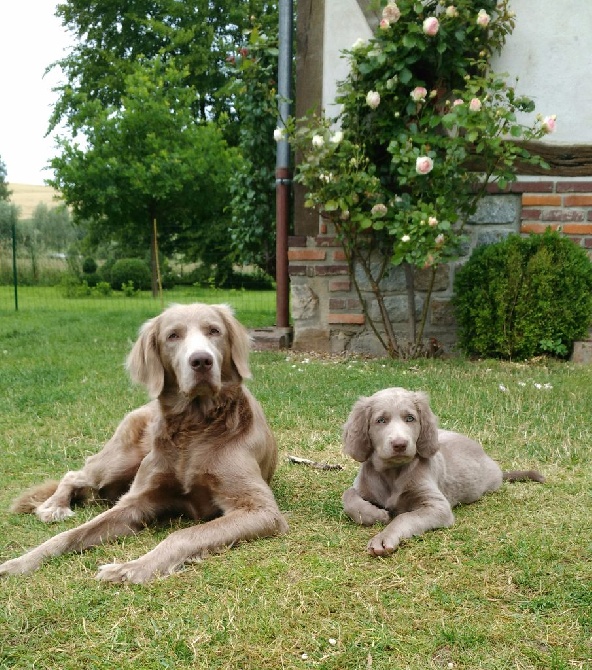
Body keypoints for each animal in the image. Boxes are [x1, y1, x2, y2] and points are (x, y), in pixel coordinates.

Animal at [0, 304, 286, 584]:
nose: (202, 361)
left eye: (214, 331)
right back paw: (54, 506)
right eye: (173, 336)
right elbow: (70, 535)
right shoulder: (135, 501)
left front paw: (131, 568)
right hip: (120, 461)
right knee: (75, 474)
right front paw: (21, 561)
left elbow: (183, 534)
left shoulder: (260, 509)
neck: (195, 428)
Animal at [340, 388, 544, 556]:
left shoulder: (437, 506)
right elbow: (348, 496)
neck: (393, 473)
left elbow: (404, 517)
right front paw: (375, 514)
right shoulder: (361, 485)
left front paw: (383, 537)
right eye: (380, 420)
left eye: (410, 418)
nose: (400, 444)